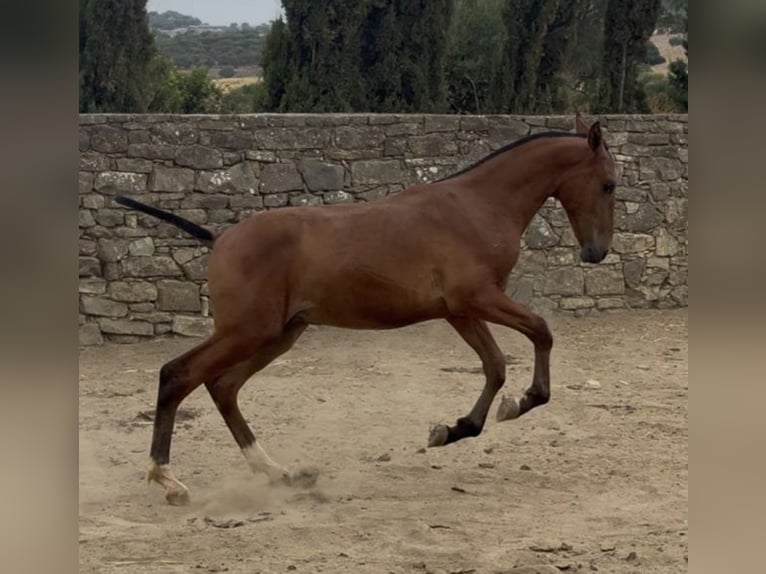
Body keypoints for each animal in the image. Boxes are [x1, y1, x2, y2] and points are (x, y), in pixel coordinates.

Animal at [113, 115, 617, 505]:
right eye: (609, 184)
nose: (596, 253)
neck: (476, 206)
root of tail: (220, 239)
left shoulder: (459, 311)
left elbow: (494, 367)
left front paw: (456, 428)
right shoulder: (478, 299)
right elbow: (541, 331)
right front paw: (523, 402)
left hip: (280, 334)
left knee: (223, 387)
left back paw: (279, 473)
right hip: (247, 331)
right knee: (179, 375)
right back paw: (169, 480)